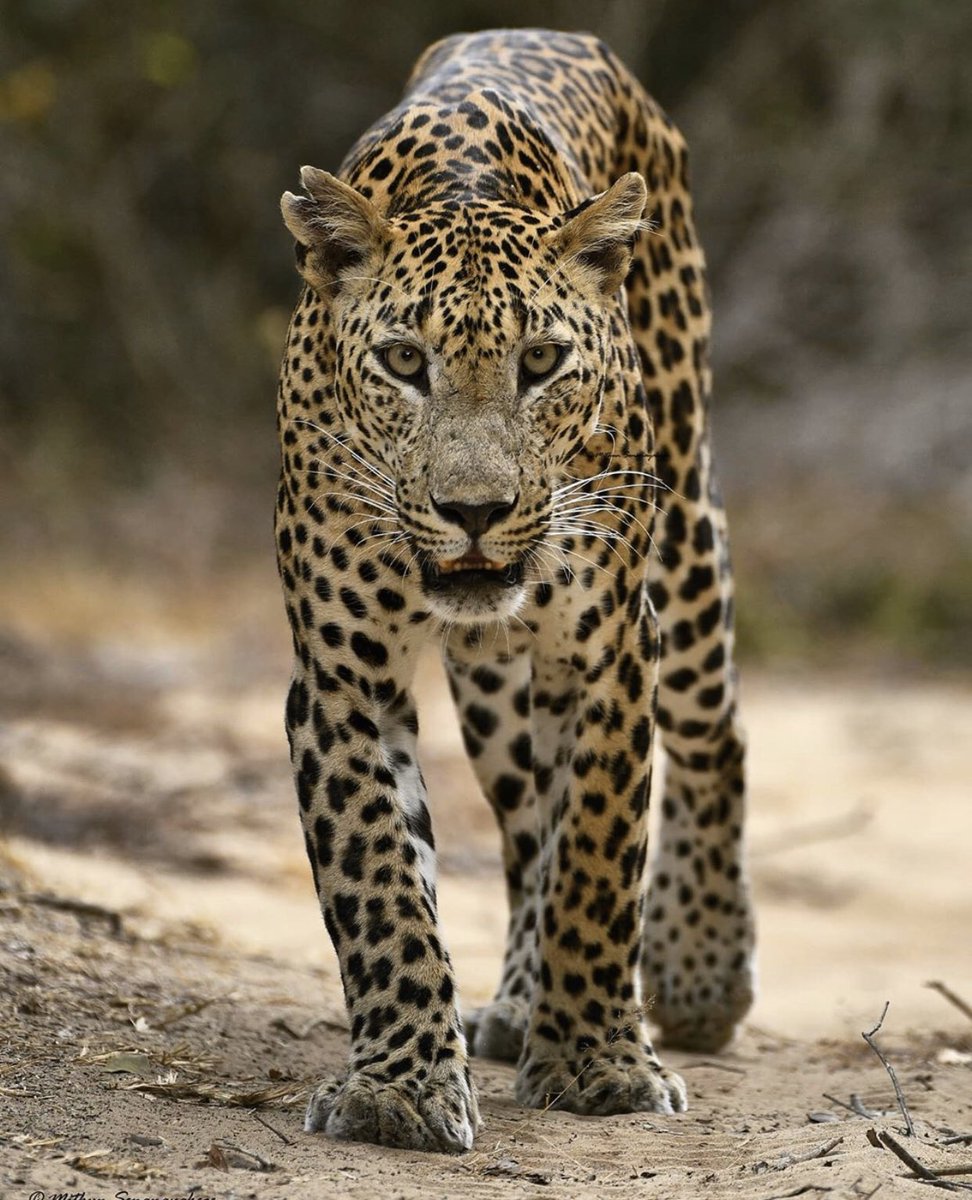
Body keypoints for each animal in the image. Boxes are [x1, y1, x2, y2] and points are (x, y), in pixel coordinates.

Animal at [275, 28, 755, 1154]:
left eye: (541, 359)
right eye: (403, 360)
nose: (475, 510)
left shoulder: (607, 656)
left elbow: (598, 859)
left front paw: (600, 1064)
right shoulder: (342, 678)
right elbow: (381, 879)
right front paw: (400, 1084)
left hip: (684, 539)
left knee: (713, 735)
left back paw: (701, 970)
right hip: (496, 692)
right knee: (526, 824)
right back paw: (520, 1000)